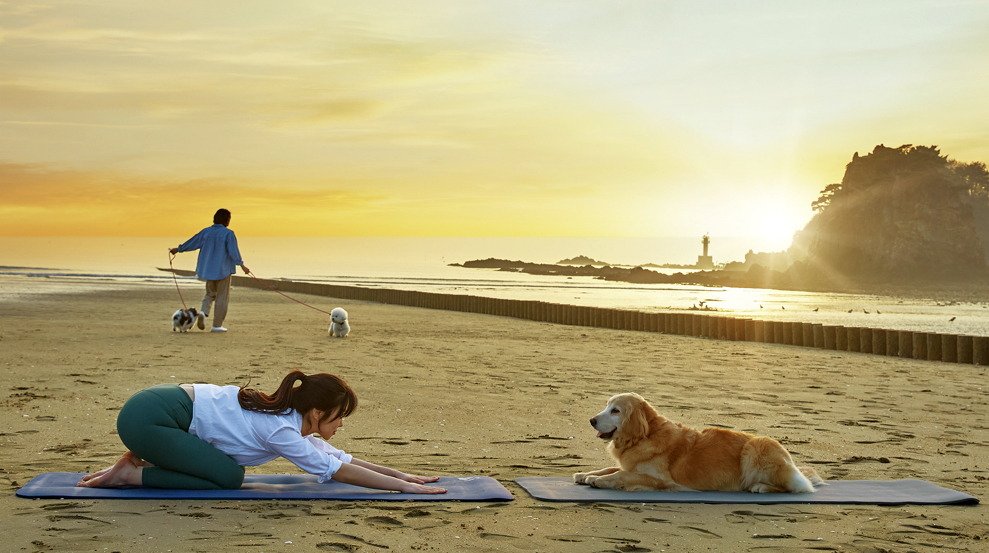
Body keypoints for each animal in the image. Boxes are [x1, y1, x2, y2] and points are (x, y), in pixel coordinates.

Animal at [576, 392, 824, 492]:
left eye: (615, 410)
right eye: (607, 406)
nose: (591, 420)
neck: (644, 436)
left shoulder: (659, 479)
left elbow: (621, 474)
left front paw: (597, 480)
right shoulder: (633, 465)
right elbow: (611, 468)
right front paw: (585, 474)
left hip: (756, 447)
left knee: (798, 487)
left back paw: (760, 487)